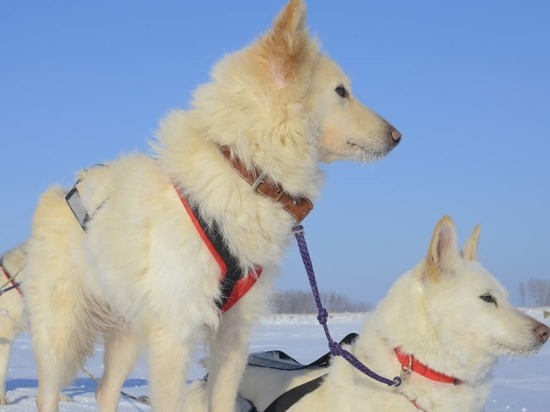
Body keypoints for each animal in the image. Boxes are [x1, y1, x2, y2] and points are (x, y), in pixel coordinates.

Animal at [22, 0, 402, 412]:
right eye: (341, 91)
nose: (397, 136)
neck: (243, 170)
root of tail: (60, 194)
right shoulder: (174, 334)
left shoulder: (233, 336)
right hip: (60, 333)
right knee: (49, 392)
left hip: (128, 333)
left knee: (104, 391)